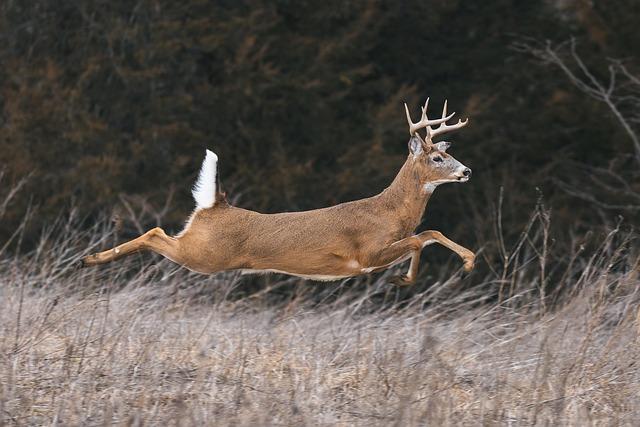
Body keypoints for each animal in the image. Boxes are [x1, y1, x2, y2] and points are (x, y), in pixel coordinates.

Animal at [81, 97, 476, 284]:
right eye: (438, 157)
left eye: (449, 153)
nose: (467, 171)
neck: (390, 212)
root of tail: (216, 204)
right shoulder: (366, 254)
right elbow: (420, 238)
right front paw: (409, 278)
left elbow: (427, 234)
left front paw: (464, 263)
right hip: (204, 254)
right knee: (155, 233)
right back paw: (92, 258)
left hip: (200, 248)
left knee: (159, 233)